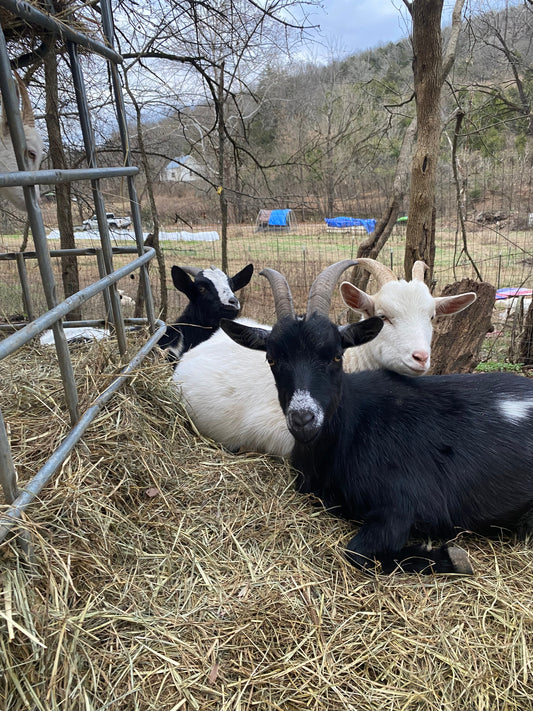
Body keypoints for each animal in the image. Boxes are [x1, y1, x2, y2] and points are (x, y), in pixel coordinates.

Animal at [220, 262, 533, 576]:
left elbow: (357, 552)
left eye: (336, 356)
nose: (303, 419)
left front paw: (454, 556)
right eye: (271, 359)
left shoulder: (403, 501)